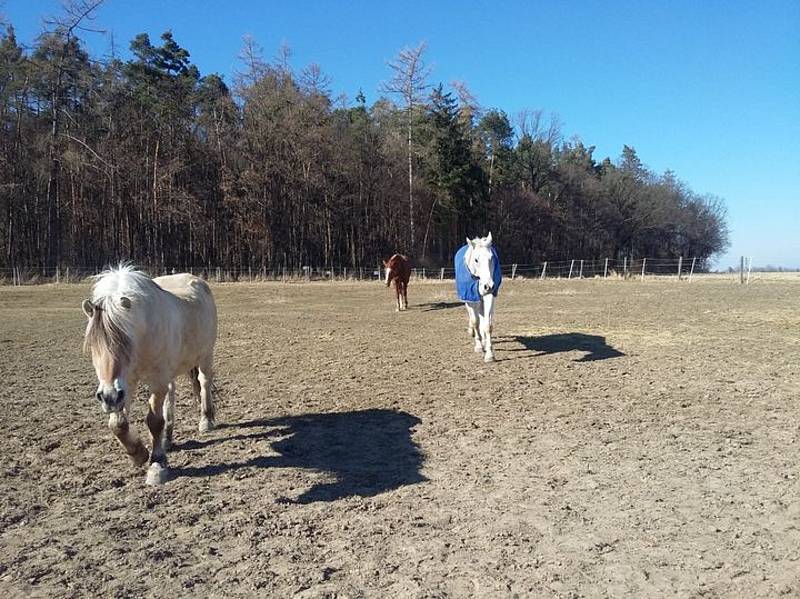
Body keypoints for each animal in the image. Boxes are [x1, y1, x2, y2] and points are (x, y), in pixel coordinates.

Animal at [81, 264, 216, 486]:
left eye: (126, 341)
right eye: (93, 345)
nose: (108, 397)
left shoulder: (157, 379)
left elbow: (154, 421)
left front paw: (157, 465)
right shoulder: (126, 383)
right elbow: (117, 424)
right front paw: (138, 453)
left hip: (205, 355)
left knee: (204, 383)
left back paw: (206, 420)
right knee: (172, 394)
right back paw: (167, 438)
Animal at [456, 234, 500, 364]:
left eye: (491, 258)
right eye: (476, 260)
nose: (488, 286)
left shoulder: (489, 296)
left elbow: (487, 325)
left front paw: (489, 354)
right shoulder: (470, 298)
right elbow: (475, 321)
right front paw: (479, 346)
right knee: (473, 317)